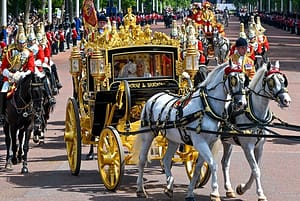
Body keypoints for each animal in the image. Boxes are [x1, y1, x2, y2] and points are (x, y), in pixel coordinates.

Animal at [134, 61, 248, 201]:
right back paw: (140, 189)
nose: (242, 103)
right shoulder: (200, 142)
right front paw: (214, 193)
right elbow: (212, 164)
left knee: (166, 160)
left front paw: (190, 193)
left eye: (244, 80)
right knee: (142, 159)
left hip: (173, 140)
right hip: (147, 134)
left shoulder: (209, 142)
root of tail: (154, 97)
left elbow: (198, 167)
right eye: (233, 80)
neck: (206, 107)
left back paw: (169, 187)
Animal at [220, 60, 290, 200]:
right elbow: (256, 170)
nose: (287, 100)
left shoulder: (259, 146)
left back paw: (229, 189)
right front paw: (260, 194)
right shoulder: (248, 146)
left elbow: (255, 169)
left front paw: (242, 188)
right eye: (271, 82)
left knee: (224, 162)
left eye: (283, 80)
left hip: (227, 142)